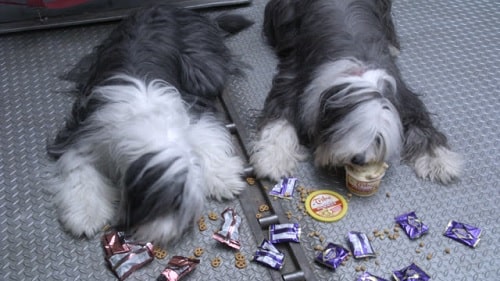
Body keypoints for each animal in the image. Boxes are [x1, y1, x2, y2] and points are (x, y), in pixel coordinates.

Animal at [47, 4, 254, 245]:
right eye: (169, 203)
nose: (173, 234)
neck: (144, 120)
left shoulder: (191, 109)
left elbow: (206, 135)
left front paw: (222, 177)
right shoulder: (82, 132)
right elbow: (79, 169)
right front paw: (85, 215)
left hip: (203, 69)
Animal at [250, 0, 460, 184]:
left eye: (377, 138)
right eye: (349, 128)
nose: (359, 159)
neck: (358, 73)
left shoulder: (402, 95)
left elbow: (420, 122)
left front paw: (438, 160)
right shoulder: (292, 82)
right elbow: (279, 119)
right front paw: (272, 157)